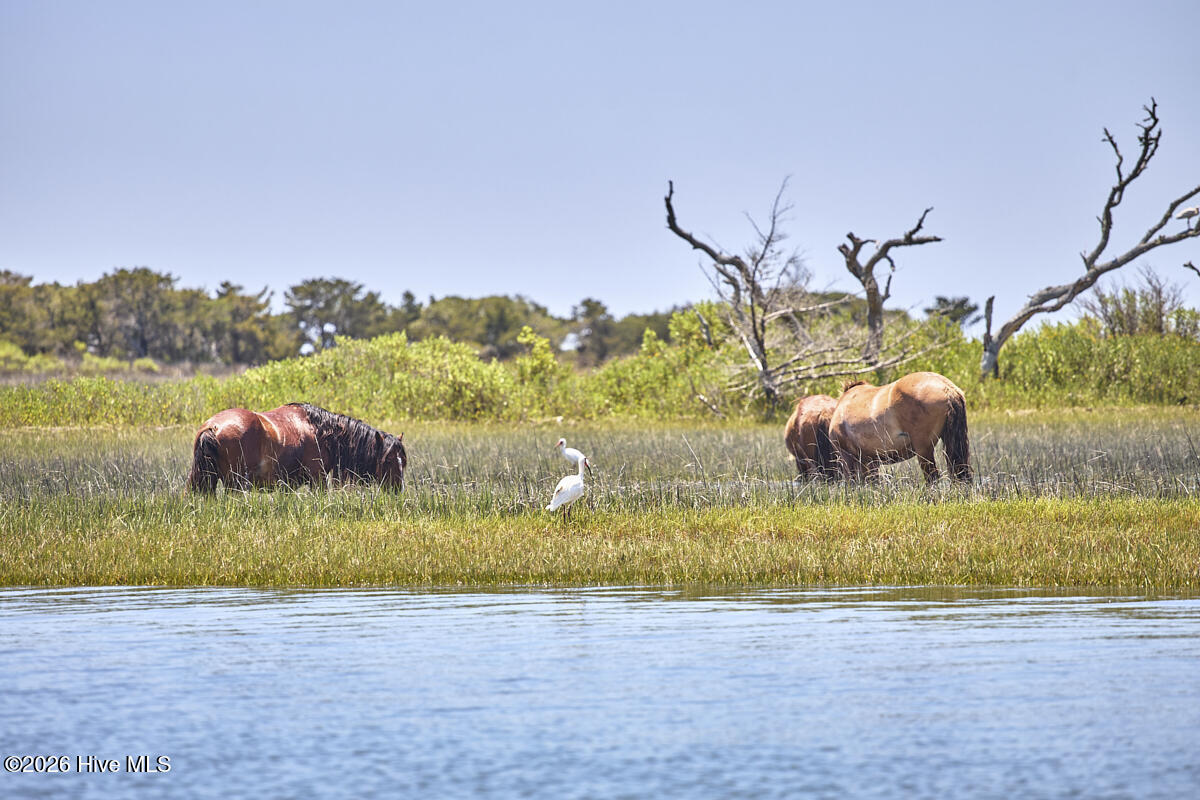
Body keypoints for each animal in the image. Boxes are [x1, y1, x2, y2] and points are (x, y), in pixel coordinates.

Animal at [187, 403, 407, 493]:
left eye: (403, 462)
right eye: (388, 459)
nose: (398, 490)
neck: (320, 431)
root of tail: (213, 426)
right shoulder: (318, 479)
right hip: (236, 484)